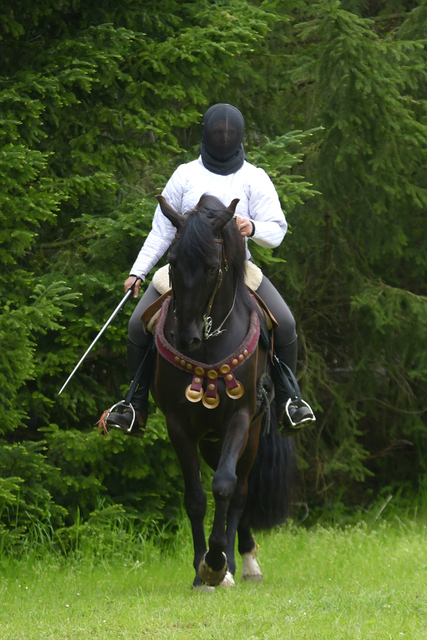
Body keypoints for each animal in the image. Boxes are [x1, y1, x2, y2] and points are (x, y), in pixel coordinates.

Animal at [150, 195, 294, 592]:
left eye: (213, 267)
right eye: (171, 261)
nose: (186, 336)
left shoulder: (240, 419)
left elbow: (226, 488)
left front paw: (217, 563)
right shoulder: (179, 425)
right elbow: (197, 498)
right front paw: (202, 569)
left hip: (251, 437)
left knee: (240, 492)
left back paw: (241, 563)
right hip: (211, 442)